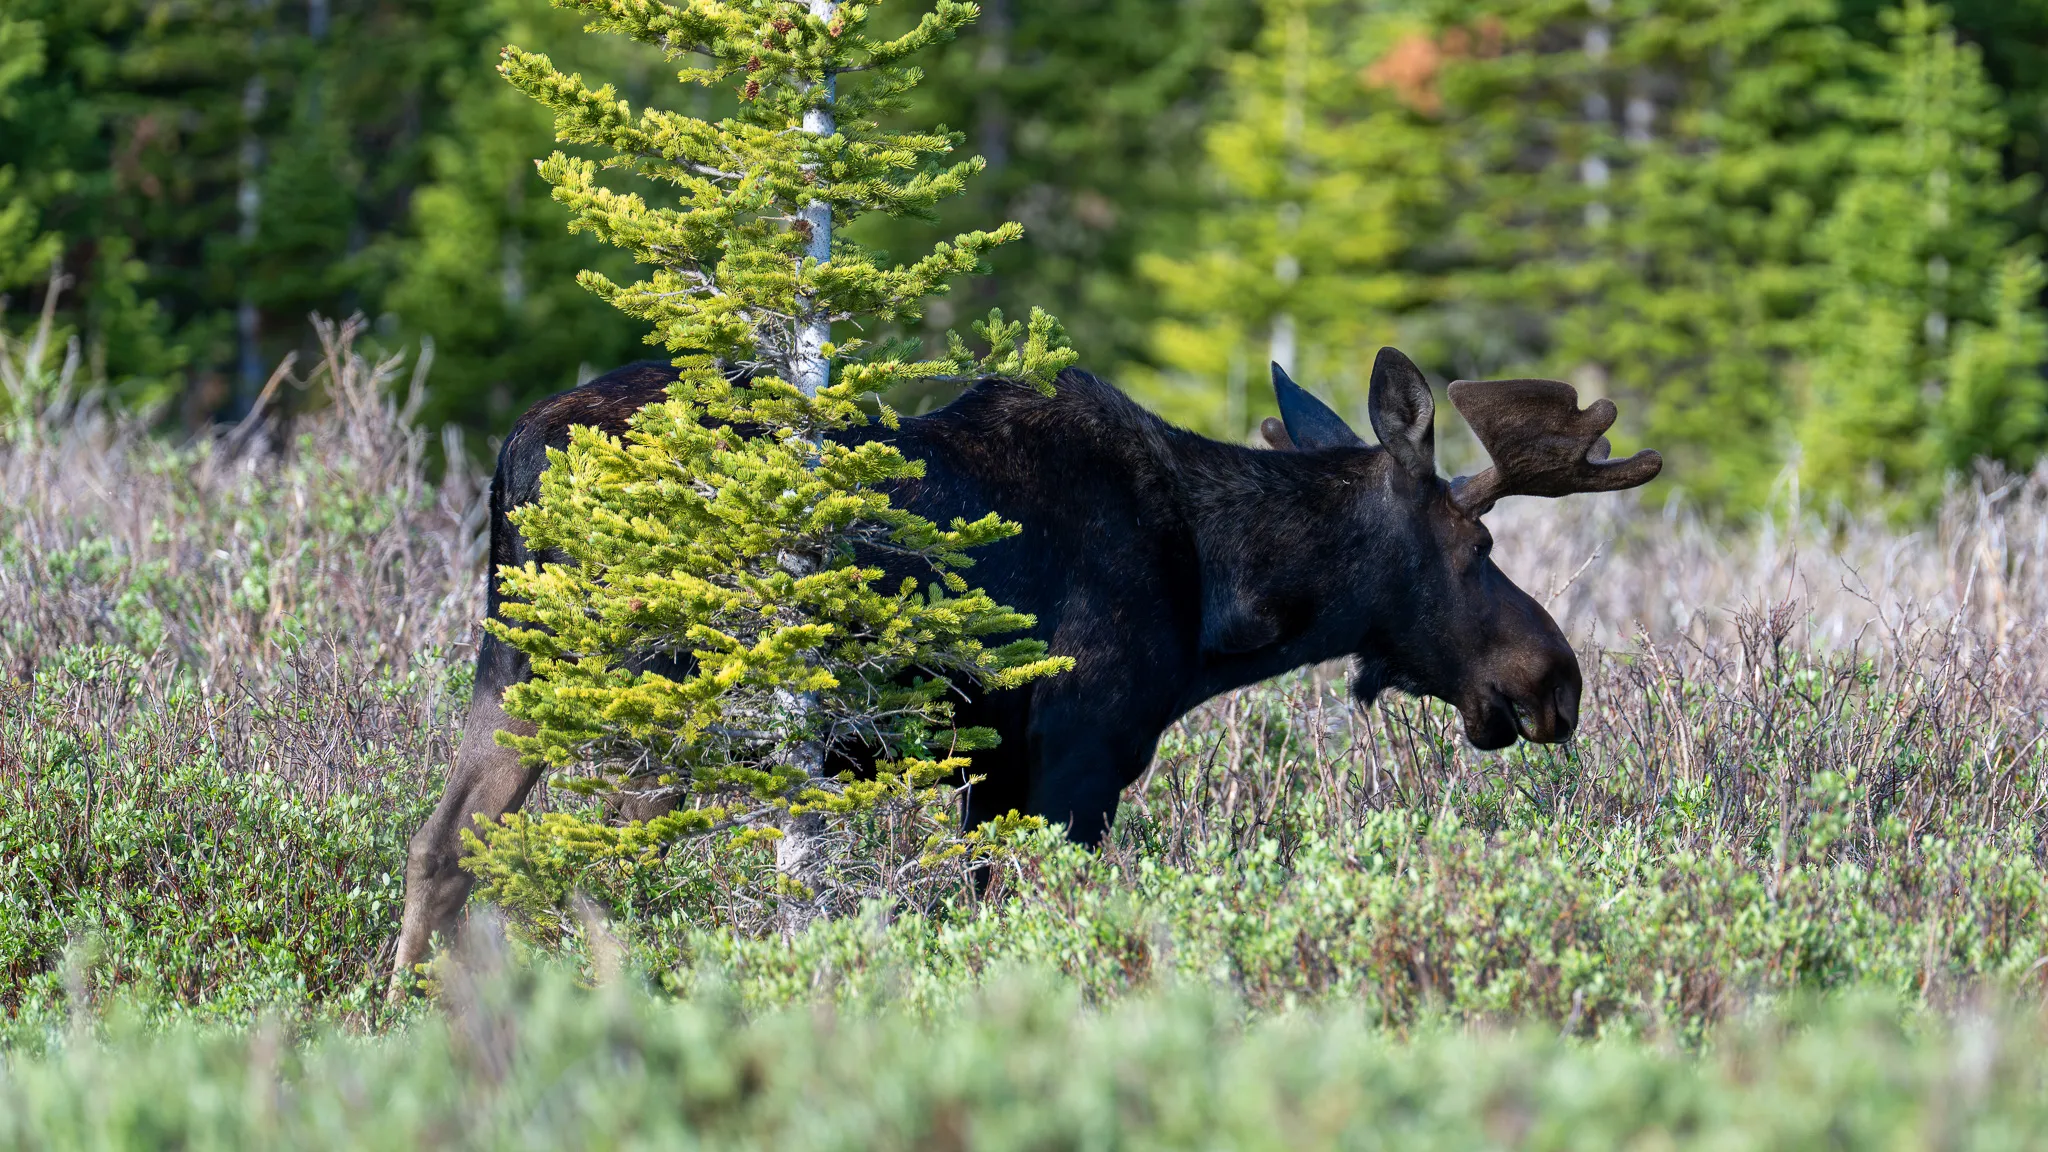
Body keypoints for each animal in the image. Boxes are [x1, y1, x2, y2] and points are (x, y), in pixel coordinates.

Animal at [389, 346, 1660, 992]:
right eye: (1476, 546)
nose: (1554, 680)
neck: (1222, 597)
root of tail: (514, 452)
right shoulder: (1075, 762)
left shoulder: (988, 772)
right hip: (663, 692)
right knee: (581, 865)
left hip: (519, 667)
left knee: (447, 846)